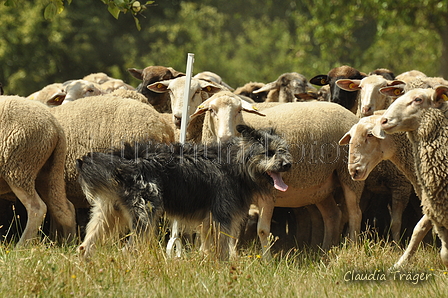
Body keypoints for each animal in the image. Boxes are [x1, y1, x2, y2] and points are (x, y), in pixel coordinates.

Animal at [0, 95, 76, 244]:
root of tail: (55, 125)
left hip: (19, 168)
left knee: (37, 208)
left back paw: (22, 245)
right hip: (48, 173)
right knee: (65, 208)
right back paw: (70, 243)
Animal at [77, 124, 292, 260]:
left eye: (283, 150)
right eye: (269, 152)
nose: (288, 165)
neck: (236, 164)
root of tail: (124, 159)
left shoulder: (208, 222)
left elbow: (208, 249)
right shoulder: (222, 218)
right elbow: (222, 250)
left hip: (107, 214)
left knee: (84, 247)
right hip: (145, 216)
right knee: (127, 250)